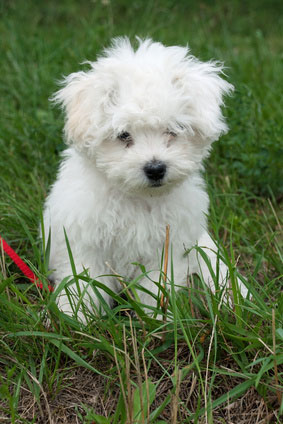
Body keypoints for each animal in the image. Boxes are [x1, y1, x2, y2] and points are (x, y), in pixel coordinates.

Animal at [43, 37, 247, 318]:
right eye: (123, 135)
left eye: (173, 130)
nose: (155, 168)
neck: (139, 197)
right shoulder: (85, 241)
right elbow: (83, 279)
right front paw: (75, 315)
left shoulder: (165, 246)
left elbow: (154, 286)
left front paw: (158, 317)